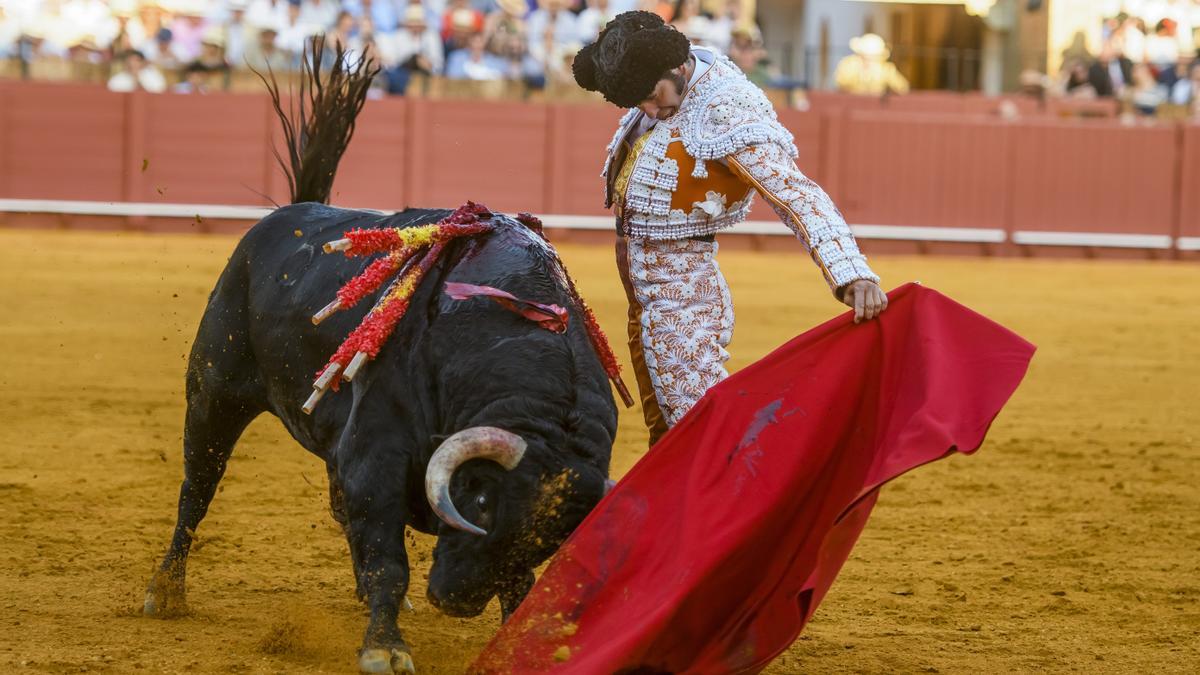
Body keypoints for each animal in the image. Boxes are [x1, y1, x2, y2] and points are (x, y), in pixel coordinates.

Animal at [142, 201, 619, 667]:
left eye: (549, 542)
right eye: (483, 504)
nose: (456, 601)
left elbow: (519, 583)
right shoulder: (375, 460)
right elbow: (388, 562)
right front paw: (385, 647)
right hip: (214, 397)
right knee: (198, 489)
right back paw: (166, 592)